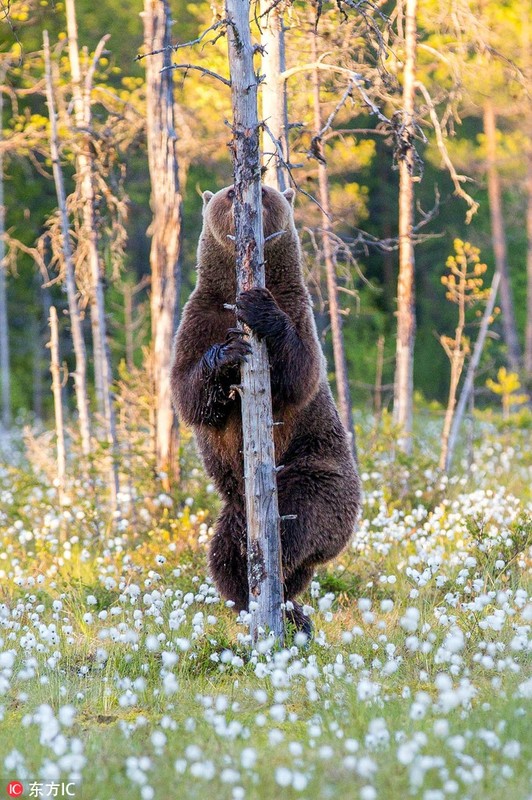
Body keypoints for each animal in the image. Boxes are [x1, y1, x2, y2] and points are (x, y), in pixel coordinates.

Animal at [171, 183, 362, 632]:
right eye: (227, 193)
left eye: (267, 190)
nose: (244, 195)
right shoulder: (199, 317)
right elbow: (187, 391)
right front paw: (226, 354)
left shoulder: (298, 309)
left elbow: (300, 372)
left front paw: (259, 308)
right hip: (235, 506)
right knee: (224, 553)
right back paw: (258, 600)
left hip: (317, 475)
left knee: (299, 521)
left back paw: (284, 598)